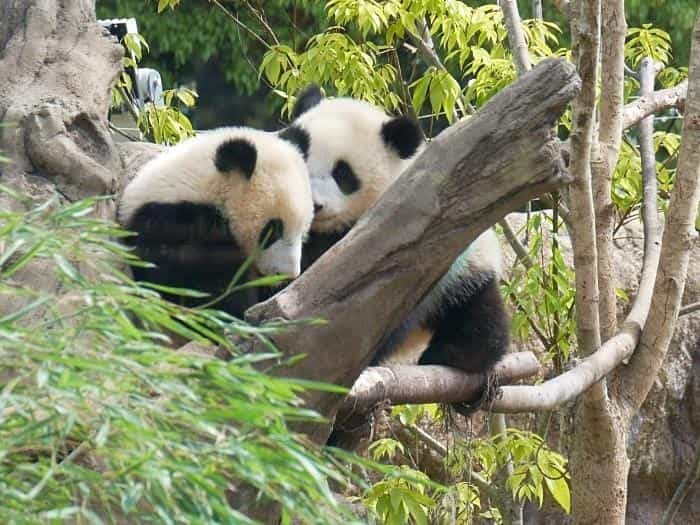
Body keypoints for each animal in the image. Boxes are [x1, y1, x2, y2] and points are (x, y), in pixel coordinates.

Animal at [284, 85, 508, 380]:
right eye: (301, 155)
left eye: (343, 174)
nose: (312, 203)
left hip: (466, 270)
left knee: (478, 312)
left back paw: (456, 352)